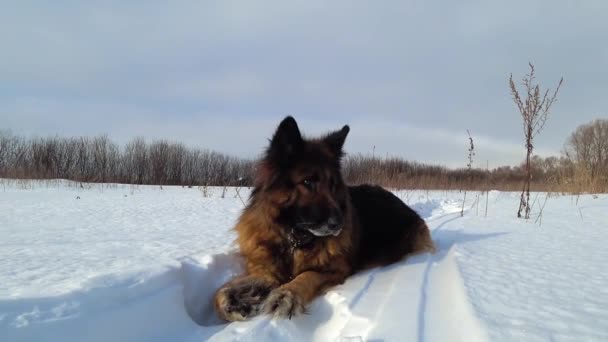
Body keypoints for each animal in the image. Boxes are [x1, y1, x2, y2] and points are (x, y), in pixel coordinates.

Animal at [214, 117, 432, 320]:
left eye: (333, 184)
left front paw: (286, 295)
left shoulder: (336, 270)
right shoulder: (267, 273)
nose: (340, 224)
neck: (293, 239)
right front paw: (233, 304)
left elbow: (306, 275)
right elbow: (220, 292)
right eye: (308, 182)